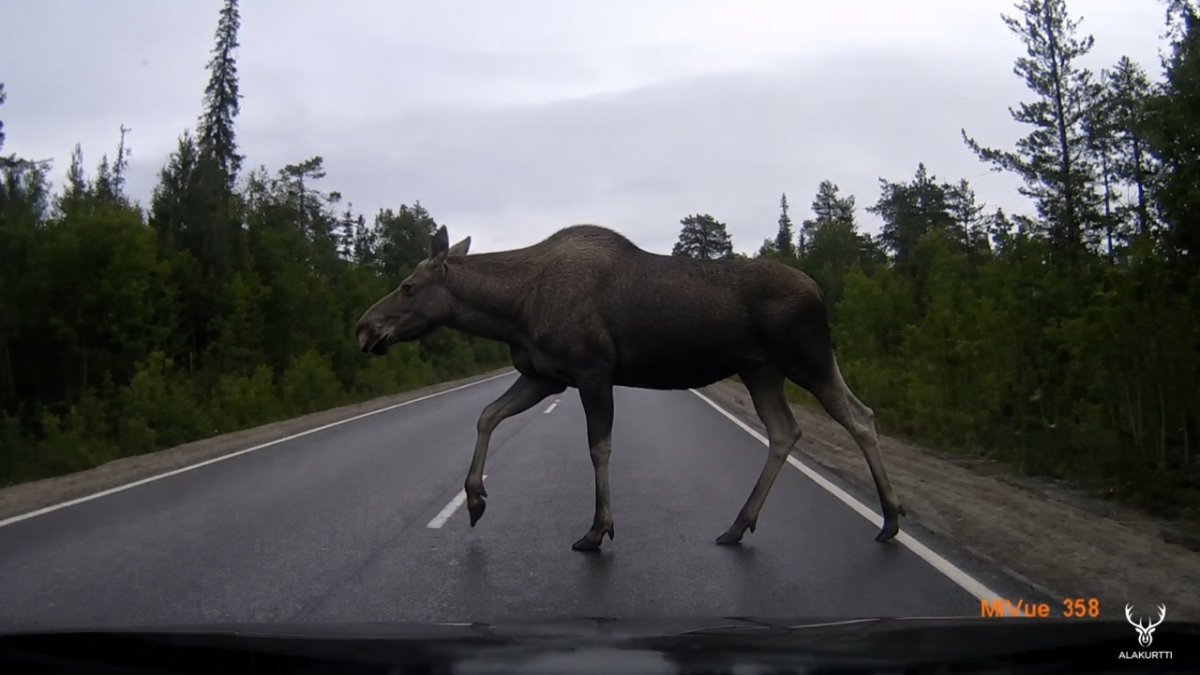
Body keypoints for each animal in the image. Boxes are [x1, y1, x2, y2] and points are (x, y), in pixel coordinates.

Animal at [355, 224, 905, 551]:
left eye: (408, 286)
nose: (364, 327)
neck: (512, 309)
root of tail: (819, 291)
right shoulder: (545, 376)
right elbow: (487, 415)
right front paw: (474, 499)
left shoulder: (592, 371)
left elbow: (599, 448)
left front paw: (597, 528)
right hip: (761, 370)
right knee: (786, 430)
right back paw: (737, 524)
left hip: (806, 358)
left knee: (860, 416)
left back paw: (890, 519)